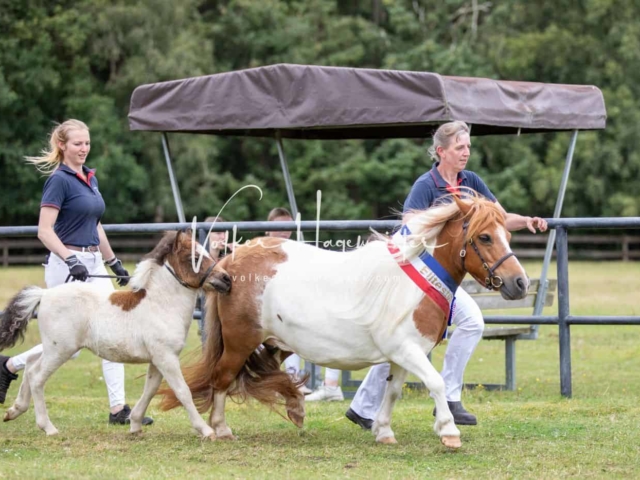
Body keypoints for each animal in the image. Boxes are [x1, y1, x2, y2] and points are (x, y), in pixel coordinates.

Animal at [0, 231, 232, 436]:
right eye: (194, 258)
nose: (226, 279)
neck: (160, 305)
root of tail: (44, 294)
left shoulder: (158, 359)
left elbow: (150, 389)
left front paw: (135, 425)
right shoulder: (166, 358)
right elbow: (183, 391)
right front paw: (206, 430)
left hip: (55, 348)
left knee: (31, 365)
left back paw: (14, 411)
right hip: (61, 350)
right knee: (37, 377)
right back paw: (48, 428)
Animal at [161, 193, 528, 448]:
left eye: (508, 236)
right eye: (485, 237)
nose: (520, 283)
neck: (415, 282)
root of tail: (231, 261)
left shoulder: (404, 354)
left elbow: (393, 391)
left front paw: (383, 431)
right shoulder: (407, 350)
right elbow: (436, 383)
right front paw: (449, 432)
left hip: (276, 342)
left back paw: (295, 407)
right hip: (241, 341)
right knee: (222, 378)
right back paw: (221, 428)